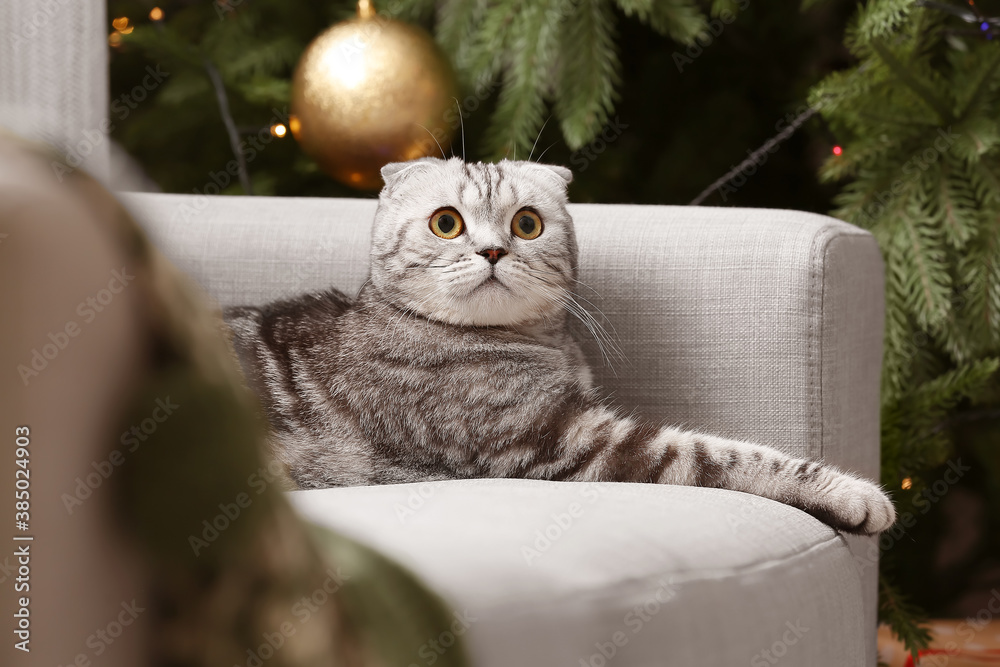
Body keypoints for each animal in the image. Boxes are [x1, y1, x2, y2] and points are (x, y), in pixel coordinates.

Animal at [227, 157, 900, 536]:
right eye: (446, 222)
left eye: (527, 223)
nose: (493, 249)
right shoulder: (568, 439)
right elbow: (725, 455)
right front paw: (856, 493)